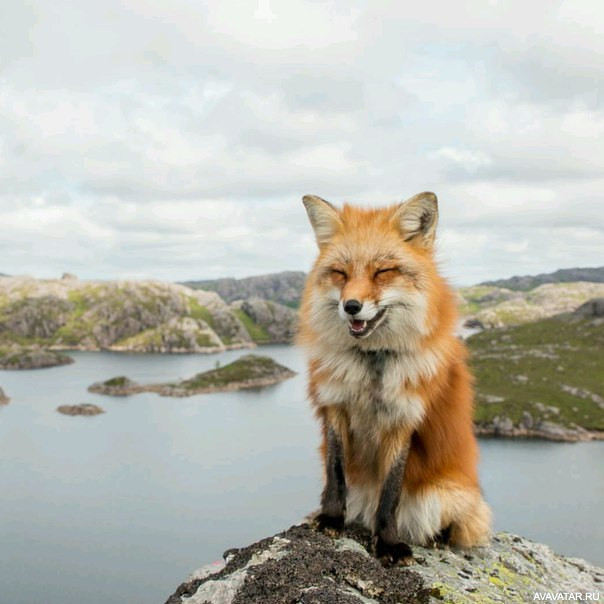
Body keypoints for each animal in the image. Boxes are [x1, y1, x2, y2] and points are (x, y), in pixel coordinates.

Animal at [296, 193, 490, 568]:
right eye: (340, 273)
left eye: (383, 271)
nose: (351, 306)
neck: (372, 365)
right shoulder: (335, 406)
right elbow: (335, 473)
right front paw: (331, 519)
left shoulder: (403, 419)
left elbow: (390, 491)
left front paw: (388, 544)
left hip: (445, 496)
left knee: (458, 527)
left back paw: (438, 540)